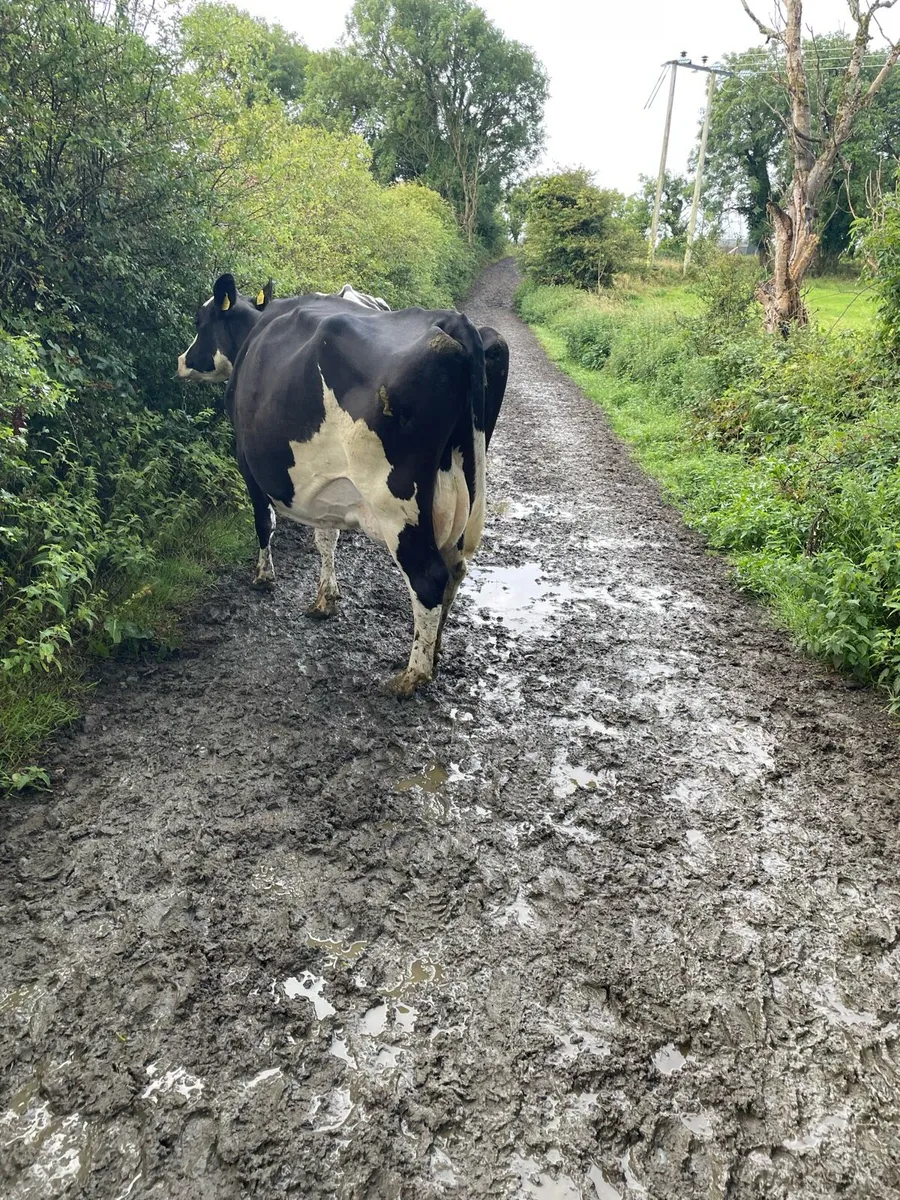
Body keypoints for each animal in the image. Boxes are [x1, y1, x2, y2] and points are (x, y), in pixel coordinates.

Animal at [177, 274, 509, 696]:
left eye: (199, 321)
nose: (182, 361)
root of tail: (455, 322)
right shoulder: (327, 481)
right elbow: (326, 537)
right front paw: (326, 598)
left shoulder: (247, 463)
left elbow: (264, 523)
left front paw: (264, 577)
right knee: (455, 569)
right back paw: (434, 652)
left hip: (396, 501)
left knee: (429, 576)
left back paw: (412, 676)